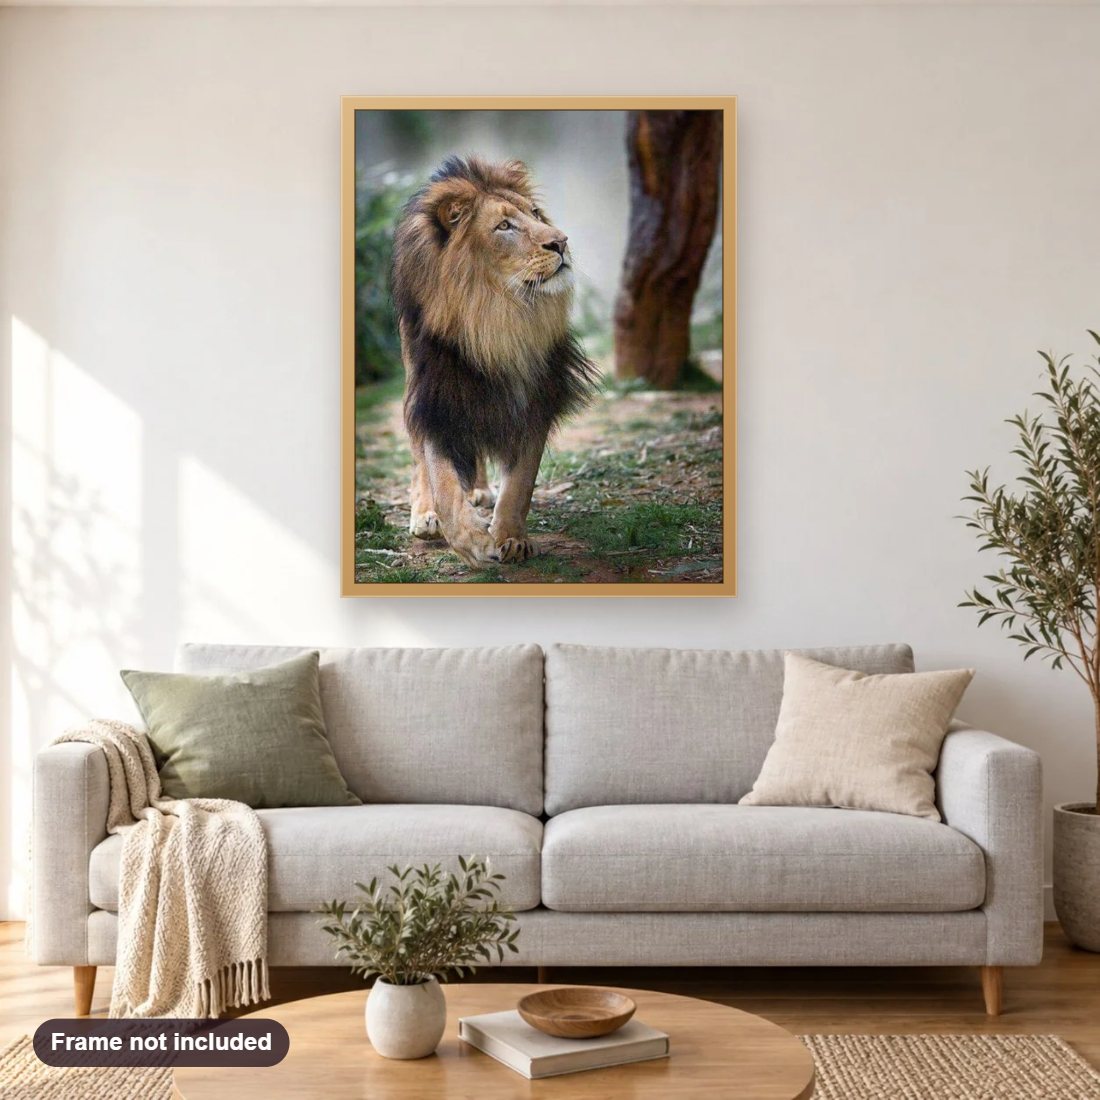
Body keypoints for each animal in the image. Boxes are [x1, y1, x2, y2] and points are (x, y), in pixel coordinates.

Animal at [391, 155, 598, 567]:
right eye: (504, 226)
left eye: (536, 214)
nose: (561, 242)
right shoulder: (437, 395)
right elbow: (441, 476)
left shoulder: (535, 395)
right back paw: (426, 514)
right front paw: (471, 541)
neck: (497, 313)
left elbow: (520, 482)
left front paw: (511, 537)